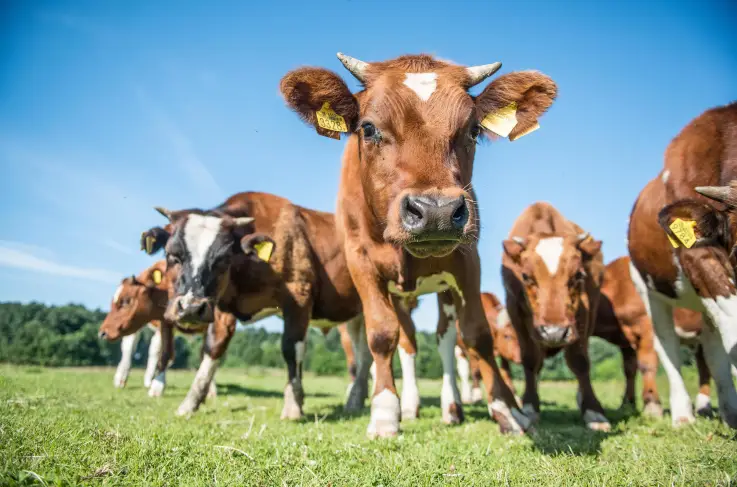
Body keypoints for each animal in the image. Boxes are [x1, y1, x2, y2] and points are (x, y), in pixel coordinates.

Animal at [279, 53, 557, 437]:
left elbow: (476, 335)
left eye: (473, 131)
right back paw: (408, 405)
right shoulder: (361, 262)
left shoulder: (467, 260)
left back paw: (452, 407)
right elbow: (382, 335)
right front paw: (385, 412)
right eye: (368, 128)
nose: (436, 211)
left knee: (444, 339)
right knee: (408, 342)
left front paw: (507, 411)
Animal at [501, 202, 609, 430]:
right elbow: (530, 360)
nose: (554, 332)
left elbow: (580, 361)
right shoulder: (514, 310)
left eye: (578, 275)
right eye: (526, 276)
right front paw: (530, 405)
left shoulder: (583, 310)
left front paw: (593, 411)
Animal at [627, 102, 737, 428]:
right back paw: (682, 414)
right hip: (649, 291)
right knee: (667, 347)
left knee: (713, 350)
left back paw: (729, 411)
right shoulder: (701, 259)